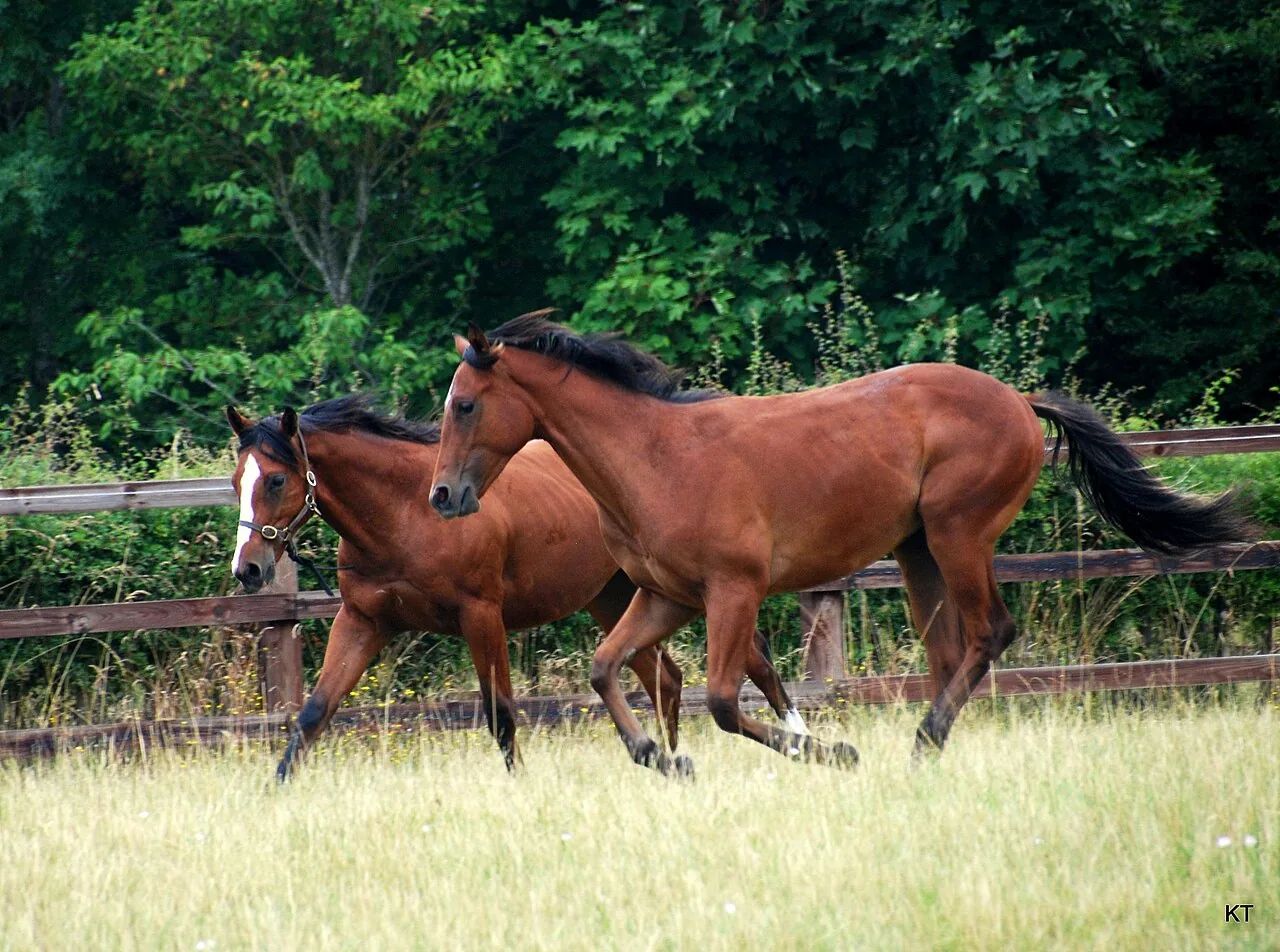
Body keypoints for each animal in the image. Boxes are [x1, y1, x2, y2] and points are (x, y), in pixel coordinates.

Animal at [227, 395, 798, 779]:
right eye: (236, 482)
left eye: (276, 479)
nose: (247, 569)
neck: (406, 511)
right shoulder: (364, 622)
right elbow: (311, 715)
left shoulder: (482, 615)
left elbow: (500, 714)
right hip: (618, 600)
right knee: (668, 678)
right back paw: (669, 756)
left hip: (697, 596)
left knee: (757, 668)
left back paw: (793, 739)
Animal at [427, 313, 1254, 776]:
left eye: (464, 405)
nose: (442, 498)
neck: (656, 458)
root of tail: (1019, 401)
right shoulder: (666, 596)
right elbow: (605, 670)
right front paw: (660, 757)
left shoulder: (734, 591)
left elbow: (724, 699)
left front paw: (829, 752)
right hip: (919, 551)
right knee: (949, 651)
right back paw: (928, 750)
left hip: (958, 533)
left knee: (990, 632)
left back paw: (919, 746)